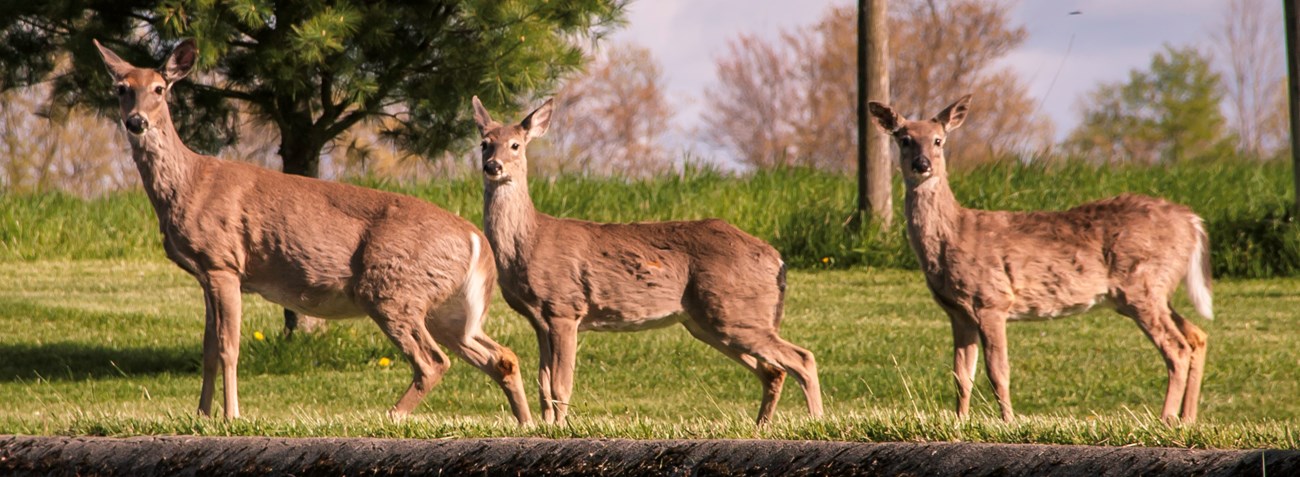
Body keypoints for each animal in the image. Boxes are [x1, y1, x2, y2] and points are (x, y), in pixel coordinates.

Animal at [94, 38, 533, 426]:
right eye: (121, 88)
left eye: (159, 88)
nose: (136, 122)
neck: (189, 183)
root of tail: (477, 241)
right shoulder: (205, 273)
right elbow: (207, 349)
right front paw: (201, 415)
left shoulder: (224, 262)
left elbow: (228, 347)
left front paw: (231, 416)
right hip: (446, 306)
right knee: (501, 356)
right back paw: (527, 421)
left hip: (392, 287)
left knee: (433, 361)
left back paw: (388, 416)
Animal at [470, 96, 821, 426]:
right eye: (484, 143)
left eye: (516, 144)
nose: (493, 166)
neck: (529, 241)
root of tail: (777, 260)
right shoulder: (538, 318)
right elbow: (543, 383)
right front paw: (545, 425)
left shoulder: (564, 307)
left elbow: (561, 384)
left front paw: (559, 426)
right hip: (709, 321)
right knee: (773, 370)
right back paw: (761, 425)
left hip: (733, 310)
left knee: (802, 358)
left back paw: (816, 420)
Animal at [868, 94, 1211, 426]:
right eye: (904, 139)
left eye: (938, 140)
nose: (922, 164)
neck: (953, 235)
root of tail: (1192, 221)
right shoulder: (957, 312)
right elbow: (961, 375)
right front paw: (959, 421)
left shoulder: (992, 300)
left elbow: (998, 371)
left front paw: (1008, 422)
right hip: (1152, 289)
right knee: (1197, 336)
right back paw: (1186, 419)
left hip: (1141, 284)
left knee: (1177, 347)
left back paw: (1166, 419)